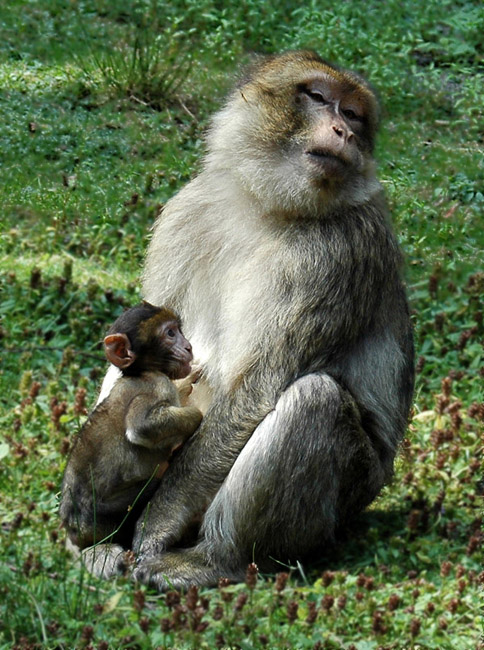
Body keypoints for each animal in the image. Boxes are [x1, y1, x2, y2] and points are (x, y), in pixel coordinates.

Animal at [59, 302, 201, 548]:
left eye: (178, 330)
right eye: (170, 333)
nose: (188, 346)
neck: (141, 372)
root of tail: (75, 530)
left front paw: (186, 383)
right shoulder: (156, 386)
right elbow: (141, 428)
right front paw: (196, 417)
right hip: (108, 515)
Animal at [101, 52, 412, 588]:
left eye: (353, 115)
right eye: (317, 96)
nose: (342, 131)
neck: (266, 206)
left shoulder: (340, 252)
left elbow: (257, 390)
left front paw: (153, 531)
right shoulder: (185, 212)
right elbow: (134, 356)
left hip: (348, 498)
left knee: (315, 400)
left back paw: (216, 558)